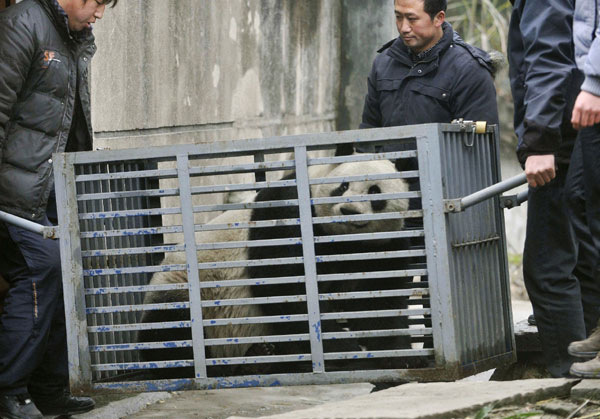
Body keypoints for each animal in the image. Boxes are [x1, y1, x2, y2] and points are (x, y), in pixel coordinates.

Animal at [138, 156, 414, 378]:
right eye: (343, 186)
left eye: (375, 191)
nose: (348, 210)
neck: (342, 241)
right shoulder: (286, 212)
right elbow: (285, 288)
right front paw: (347, 352)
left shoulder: (383, 247)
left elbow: (379, 302)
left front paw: (396, 356)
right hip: (185, 290)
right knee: (169, 330)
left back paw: (261, 357)